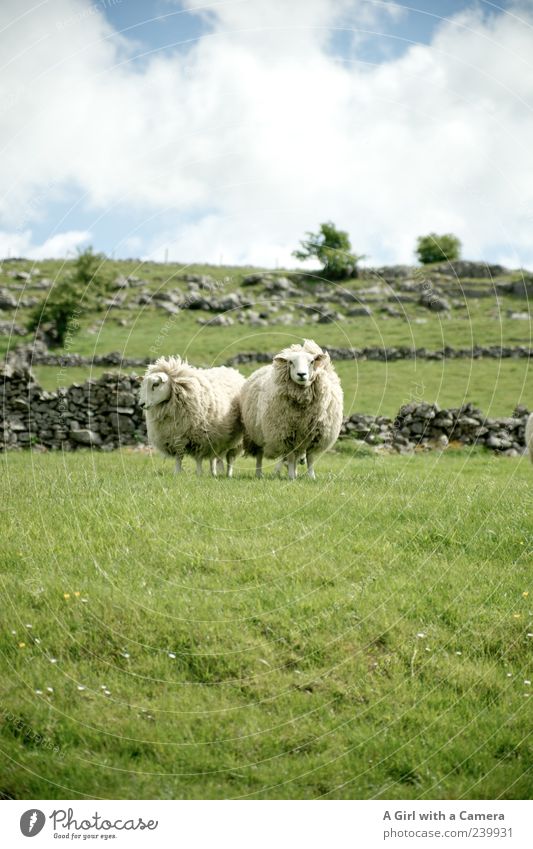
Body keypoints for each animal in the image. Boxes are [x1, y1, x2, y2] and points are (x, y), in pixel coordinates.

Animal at [239, 340, 342, 484]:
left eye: (311, 362)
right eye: (291, 362)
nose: (301, 374)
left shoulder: (315, 435)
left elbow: (310, 458)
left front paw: (311, 477)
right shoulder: (287, 435)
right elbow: (291, 457)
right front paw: (291, 477)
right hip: (256, 434)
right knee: (260, 454)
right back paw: (259, 474)